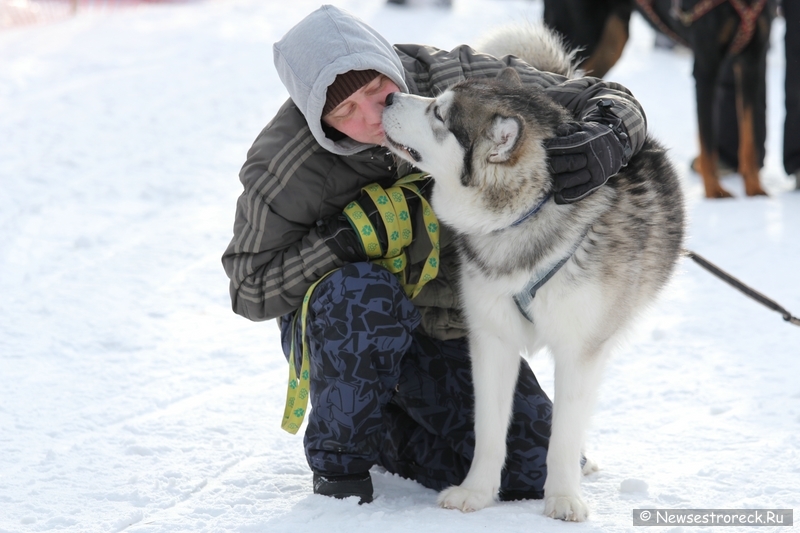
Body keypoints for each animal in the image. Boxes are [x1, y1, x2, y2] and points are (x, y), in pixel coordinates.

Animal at [384, 22, 684, 516]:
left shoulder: (579, 350)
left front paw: (562, 498)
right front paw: (476, 492)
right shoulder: (491, 340)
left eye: (439, 115)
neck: (525, 216)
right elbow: (488, 431)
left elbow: (561, 437)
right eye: (435, 101)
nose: (389, 97)